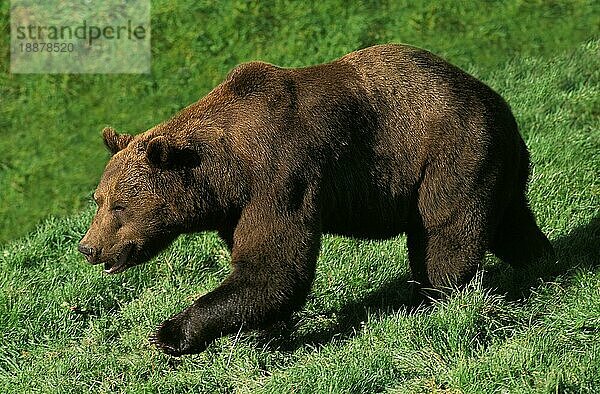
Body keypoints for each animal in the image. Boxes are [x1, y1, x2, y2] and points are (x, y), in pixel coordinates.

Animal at [78, 44, 552, 356]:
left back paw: (438, 299)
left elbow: (275, 267)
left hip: (452, 154)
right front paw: (264, 331)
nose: (88, 247)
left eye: (118, 207)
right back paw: (543, 260)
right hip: (494, 164)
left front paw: (172, 333)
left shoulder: (280, 178)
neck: (225, 172)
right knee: (511, 223)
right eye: (97, 199)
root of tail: (498, 101)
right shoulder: (237, 209)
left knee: (445, 236)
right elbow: (258, 270)